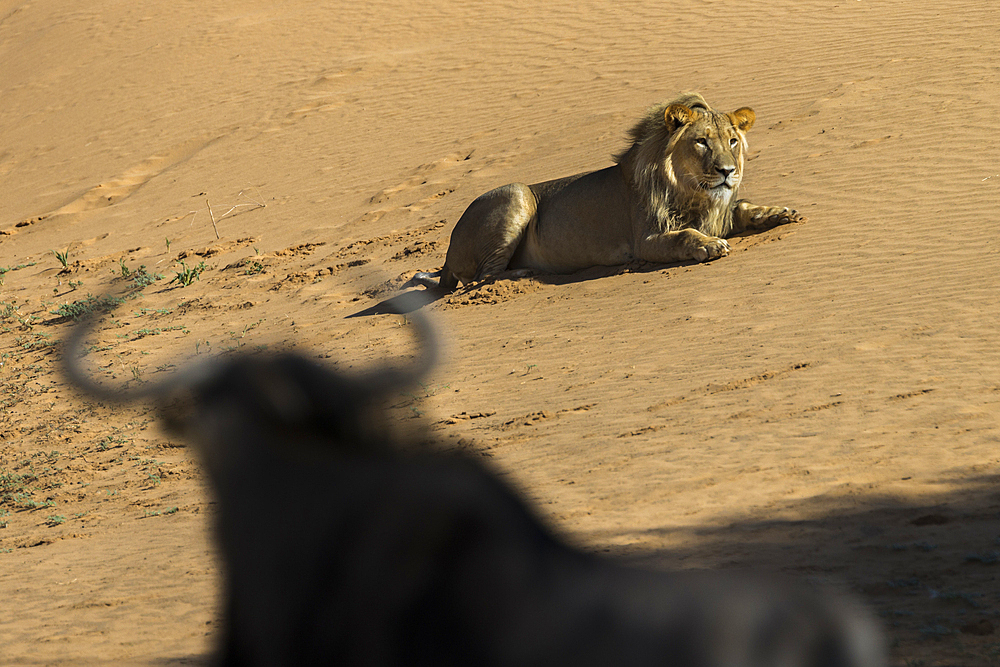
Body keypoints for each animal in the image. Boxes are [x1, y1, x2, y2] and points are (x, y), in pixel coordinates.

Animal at [410, 92, 808, 290]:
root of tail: (447, 253)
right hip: (517, 193)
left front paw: (781, 212)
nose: (727, 171)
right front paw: (709, 246)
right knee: (481, 278)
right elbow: (686, 236)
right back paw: (524, 274)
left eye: (732, 141)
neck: (694, 191)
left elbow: (745, 208)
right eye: (701, 142)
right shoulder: (646, 240)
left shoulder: (719, 212)